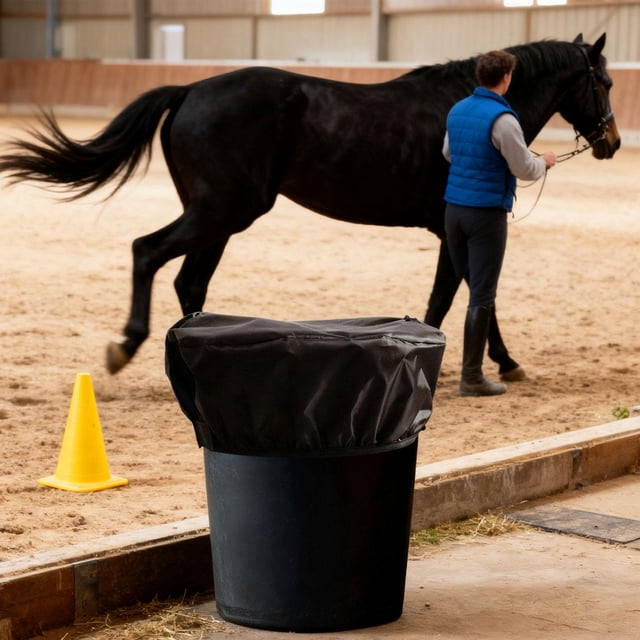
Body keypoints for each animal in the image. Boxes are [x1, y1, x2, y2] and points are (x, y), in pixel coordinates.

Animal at [0, 33, 619, 375]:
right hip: (222, 211)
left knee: (188, 282)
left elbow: (462, 295)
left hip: (220, 217)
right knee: (147, 252)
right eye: (606, 83)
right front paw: (499, 362)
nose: (612, 142)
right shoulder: (453, 228)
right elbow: (462, 296)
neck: (466, 101)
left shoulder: (452, 231)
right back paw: (127, 344)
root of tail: (191, 90)